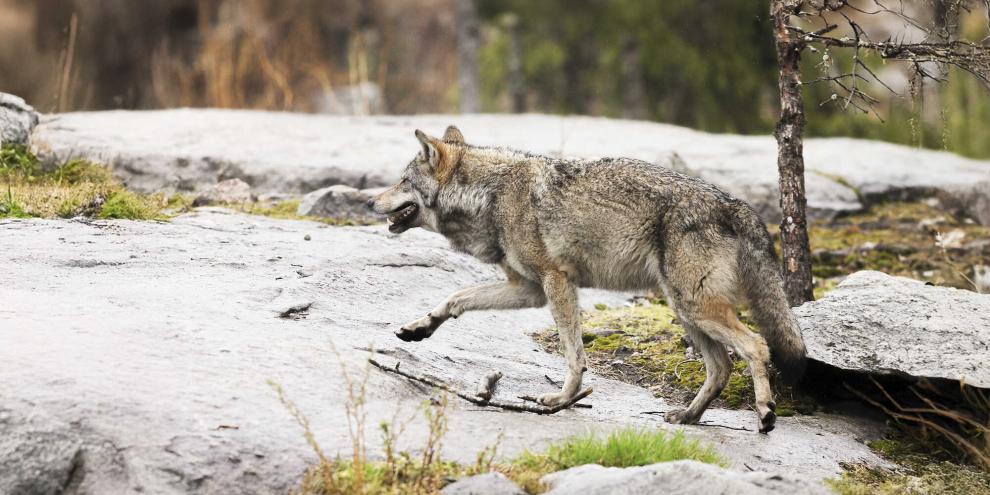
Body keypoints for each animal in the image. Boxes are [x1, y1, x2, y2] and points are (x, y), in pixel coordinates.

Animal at [369, 126, 806, 433]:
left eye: (403, 181)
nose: (369, 201)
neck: (491, 196)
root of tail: (737, 205)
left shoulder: (556, 282)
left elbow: (574, 355)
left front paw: (562, 399)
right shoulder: (528, 289)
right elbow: (456, 298)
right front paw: (419, 328)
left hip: (696, 308)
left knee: (756, 345)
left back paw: (765, 414)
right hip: (686, 311)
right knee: (721, 368)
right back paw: (687, 416)